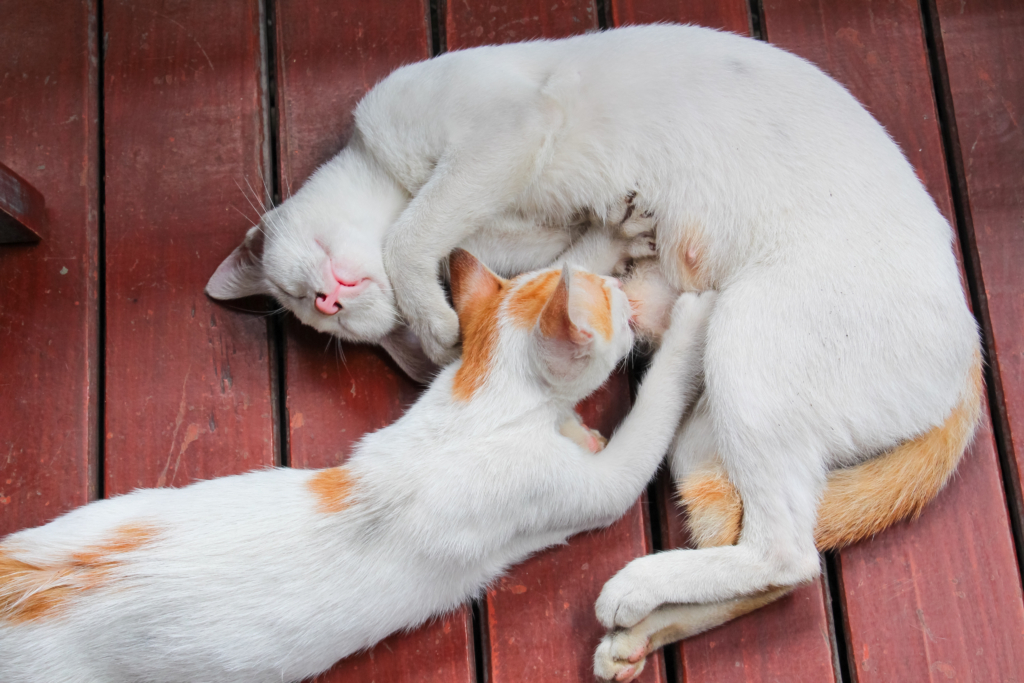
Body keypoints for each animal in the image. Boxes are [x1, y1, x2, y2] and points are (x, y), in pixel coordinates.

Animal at [0, 252, 716, 683]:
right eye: (610, 298)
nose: (622, 287)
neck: (481, 398)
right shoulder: (590, 487)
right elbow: (646, 422)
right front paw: (692, 316)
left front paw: (577, 426)